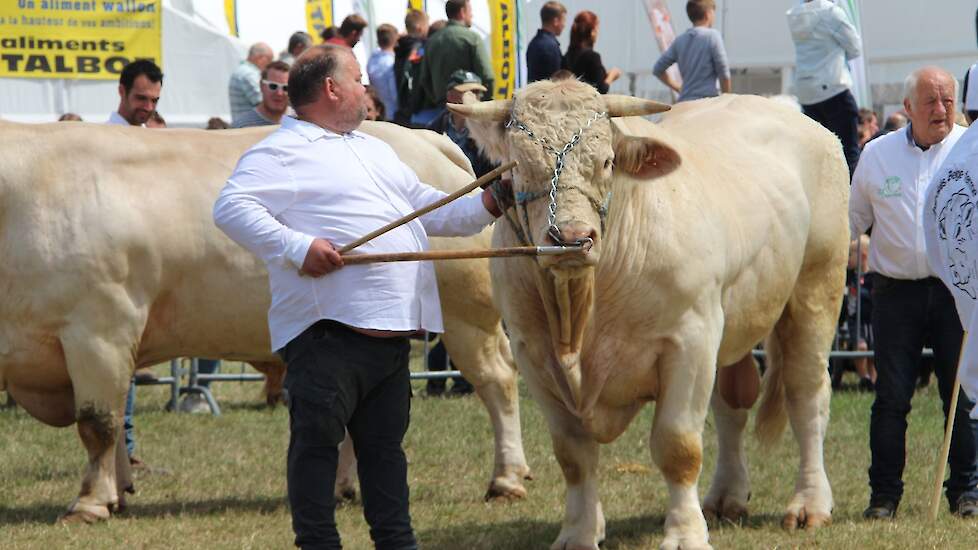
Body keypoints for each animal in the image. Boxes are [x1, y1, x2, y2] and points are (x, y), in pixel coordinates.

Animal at [0, 119, 528, 520]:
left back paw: (506, 479)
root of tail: (423, 137)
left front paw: (90, 503)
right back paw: (342, 487)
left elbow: (98, 422)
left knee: (498, 382)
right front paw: (117, 492)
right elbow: (112, 420)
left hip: (467, 315)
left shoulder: (100, 328)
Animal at [450, 82, 848, 550]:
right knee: (730, 406)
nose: (571, 238)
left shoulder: (688, 340)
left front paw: (685, 533)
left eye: (607, 161)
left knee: (806, 395)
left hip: (816, 288)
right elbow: (573, 454)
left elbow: (678, 446)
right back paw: (725, 496)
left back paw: (809, 503)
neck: (581, 312)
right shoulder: (533, 353)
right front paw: (580, 531)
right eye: (519, 166)